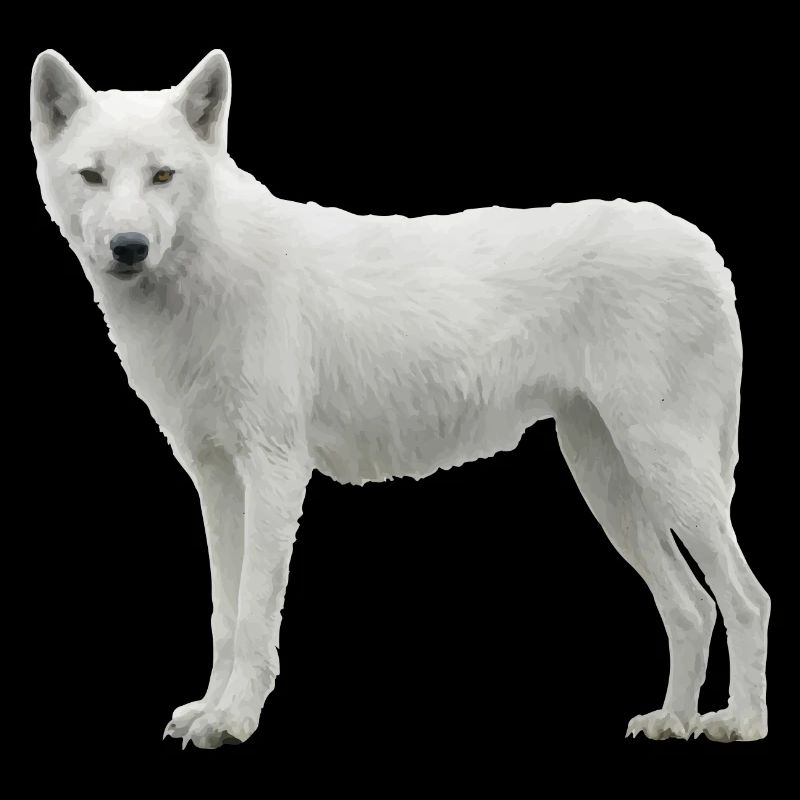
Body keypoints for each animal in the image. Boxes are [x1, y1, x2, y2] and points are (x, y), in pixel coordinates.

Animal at [30, 49, 770, 748]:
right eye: (92, 176)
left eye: (162, 176)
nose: (129, 247)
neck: (206, 275)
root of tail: (701, 245)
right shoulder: (215, 478)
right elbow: (224, 614)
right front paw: (209, 711)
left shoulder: (274, 471)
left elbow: (253, 612)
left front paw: (234, 720)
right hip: (610, 482)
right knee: (691, 607)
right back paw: (672, 720)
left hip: (666, 472)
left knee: (745, 599)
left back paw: (739, 722)